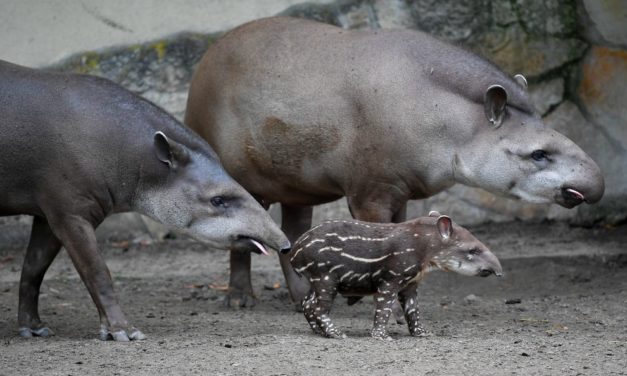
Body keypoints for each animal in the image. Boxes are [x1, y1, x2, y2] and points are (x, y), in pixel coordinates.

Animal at [292, 212, 502, 340]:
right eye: (473, 250)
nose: (499, 271)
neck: (425, 247)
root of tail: (295, 251)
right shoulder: (391, 279)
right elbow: (384, 308)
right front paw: (382, 336)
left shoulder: (410, 284)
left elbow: (413, 310)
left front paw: (422, 333)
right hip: (325, 276)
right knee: (319, 308)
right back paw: (336, 333)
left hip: (316, 278)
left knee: (307, 303)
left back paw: (318, 331)